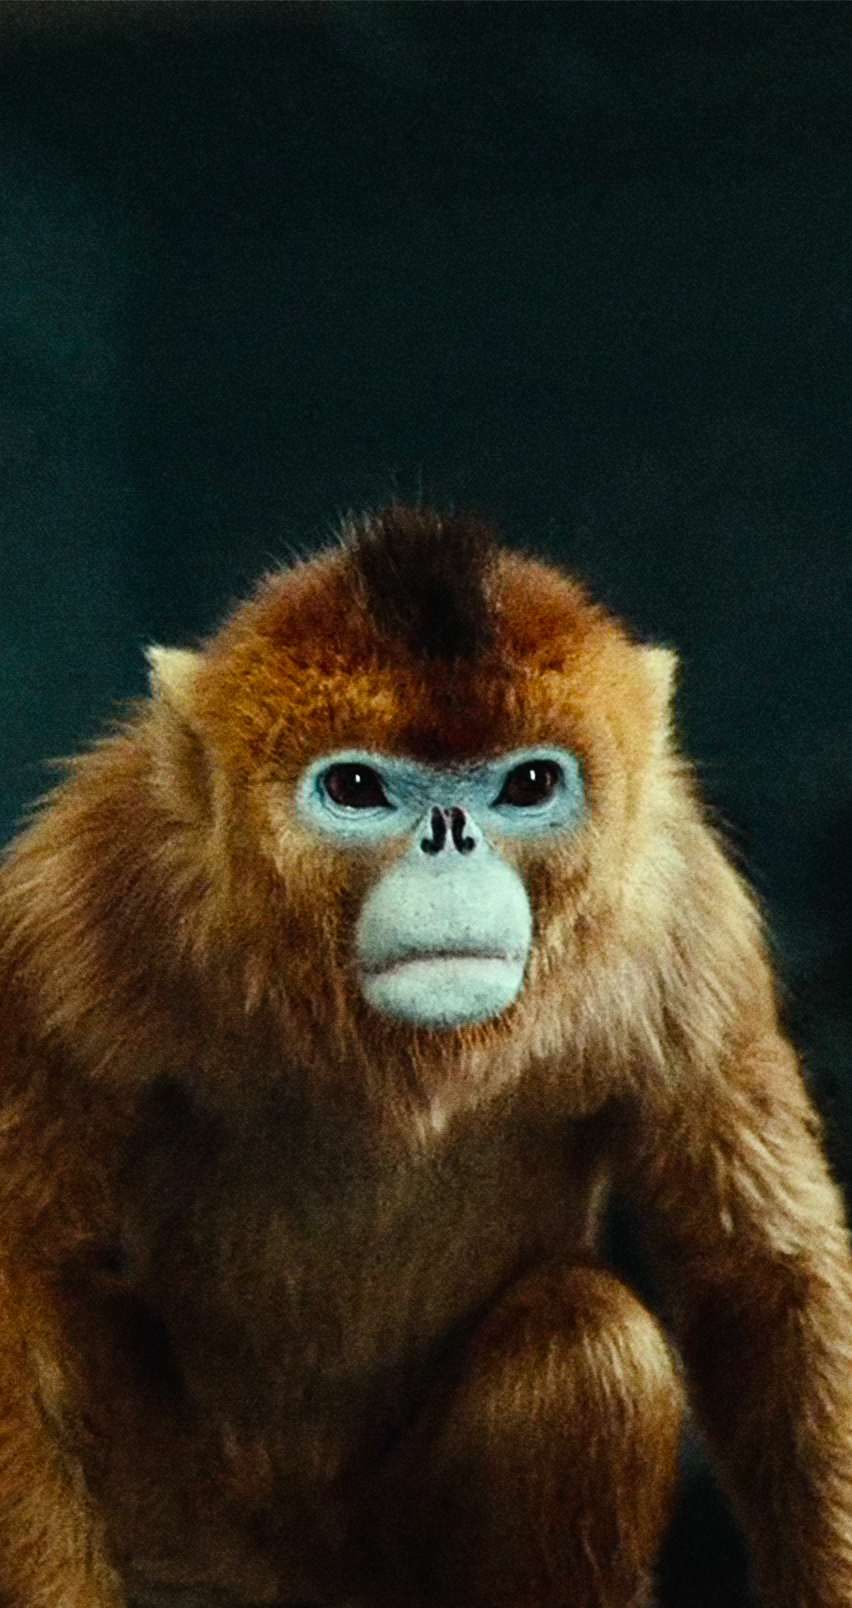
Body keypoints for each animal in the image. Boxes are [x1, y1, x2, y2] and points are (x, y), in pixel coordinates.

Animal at [1, 505, 852, 1608]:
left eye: (528, 783)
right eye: (357, 787)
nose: (450, 839)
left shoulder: (684, 908)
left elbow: (760, 1278)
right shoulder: (71, 902)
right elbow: (21, 1278)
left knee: (587, 1345)